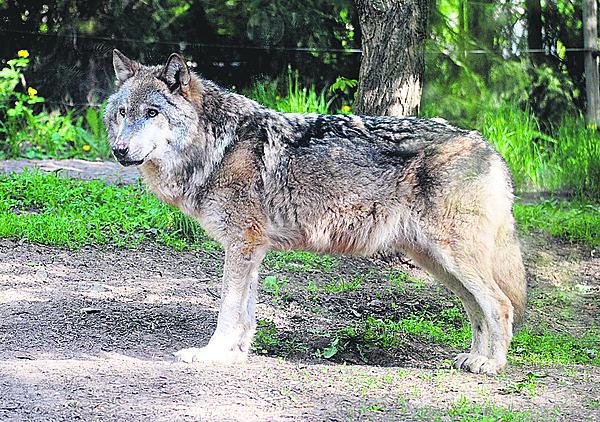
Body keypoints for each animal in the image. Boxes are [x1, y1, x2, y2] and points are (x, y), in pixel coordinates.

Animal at [105, 50, 528, 376]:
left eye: (152, 112)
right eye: (123, 112)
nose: (118, 150)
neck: (218, 146)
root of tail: (489, 148)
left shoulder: (241, 245)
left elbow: (227, 309)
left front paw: (212, 354)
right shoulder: (252, 250)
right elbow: (246, 313)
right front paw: (237, 355)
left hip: (453, 259)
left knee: (501, 305)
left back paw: (492, 365)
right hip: (438, 264)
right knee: (477, 309)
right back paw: (473, 358)